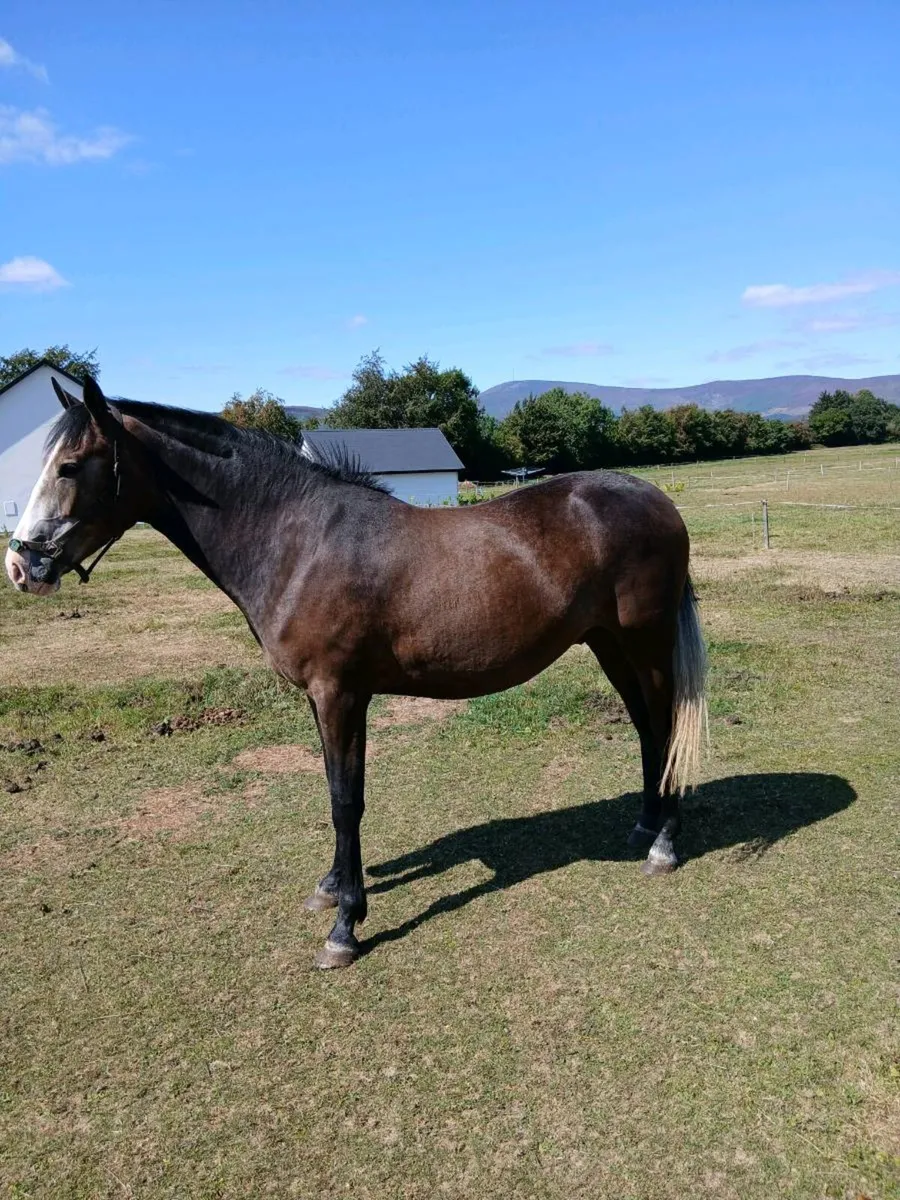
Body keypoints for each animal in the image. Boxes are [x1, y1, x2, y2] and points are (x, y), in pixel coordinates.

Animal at [6, 376, 708, 969]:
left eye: (69, 466)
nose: (21, 566)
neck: (298, 542)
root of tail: (654, 499)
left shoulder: (340, 694)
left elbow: (346, 801)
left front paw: (344, 926)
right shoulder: (326, 700)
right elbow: (336, 792)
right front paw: (332, 886)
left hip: (643, 643)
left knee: (668, 723)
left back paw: (665, 846)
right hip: (609, 645)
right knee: (649, 728)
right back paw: (645, 824)